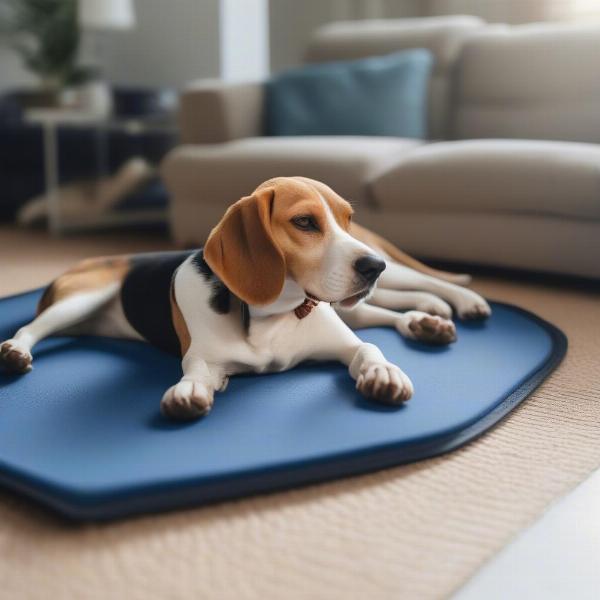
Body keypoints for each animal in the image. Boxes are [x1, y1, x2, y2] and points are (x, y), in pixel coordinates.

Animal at [0, 176, 488, 420]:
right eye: (305, 222)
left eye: (346, 218)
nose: (372, 266)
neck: (274, 313)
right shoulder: (206, 359)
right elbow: (196, 372)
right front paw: (188, 390)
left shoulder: (344, 339)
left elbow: (367, 348)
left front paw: (383, 372)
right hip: (82, 296)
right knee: (32, 326)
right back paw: (15, 352)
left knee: (399, 299)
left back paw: (442, 310)